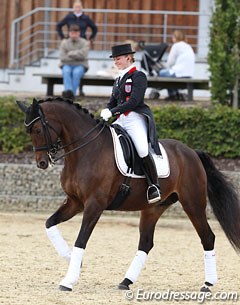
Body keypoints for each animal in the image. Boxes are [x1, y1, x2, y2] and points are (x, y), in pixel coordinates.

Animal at [16, 98, 240, 292]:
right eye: (28, 131)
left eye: (37, 129)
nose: (42, 163)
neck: (85, 151)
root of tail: (192, 152)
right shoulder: (74, 202)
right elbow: (49, 223)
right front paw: (71, 259)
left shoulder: (94, 205)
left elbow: (81, 240)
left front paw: (69, 280)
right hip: (153, 208)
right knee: (146, 243)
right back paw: (126, 281)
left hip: (193, 204)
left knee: (207, 237)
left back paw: (208, 284)